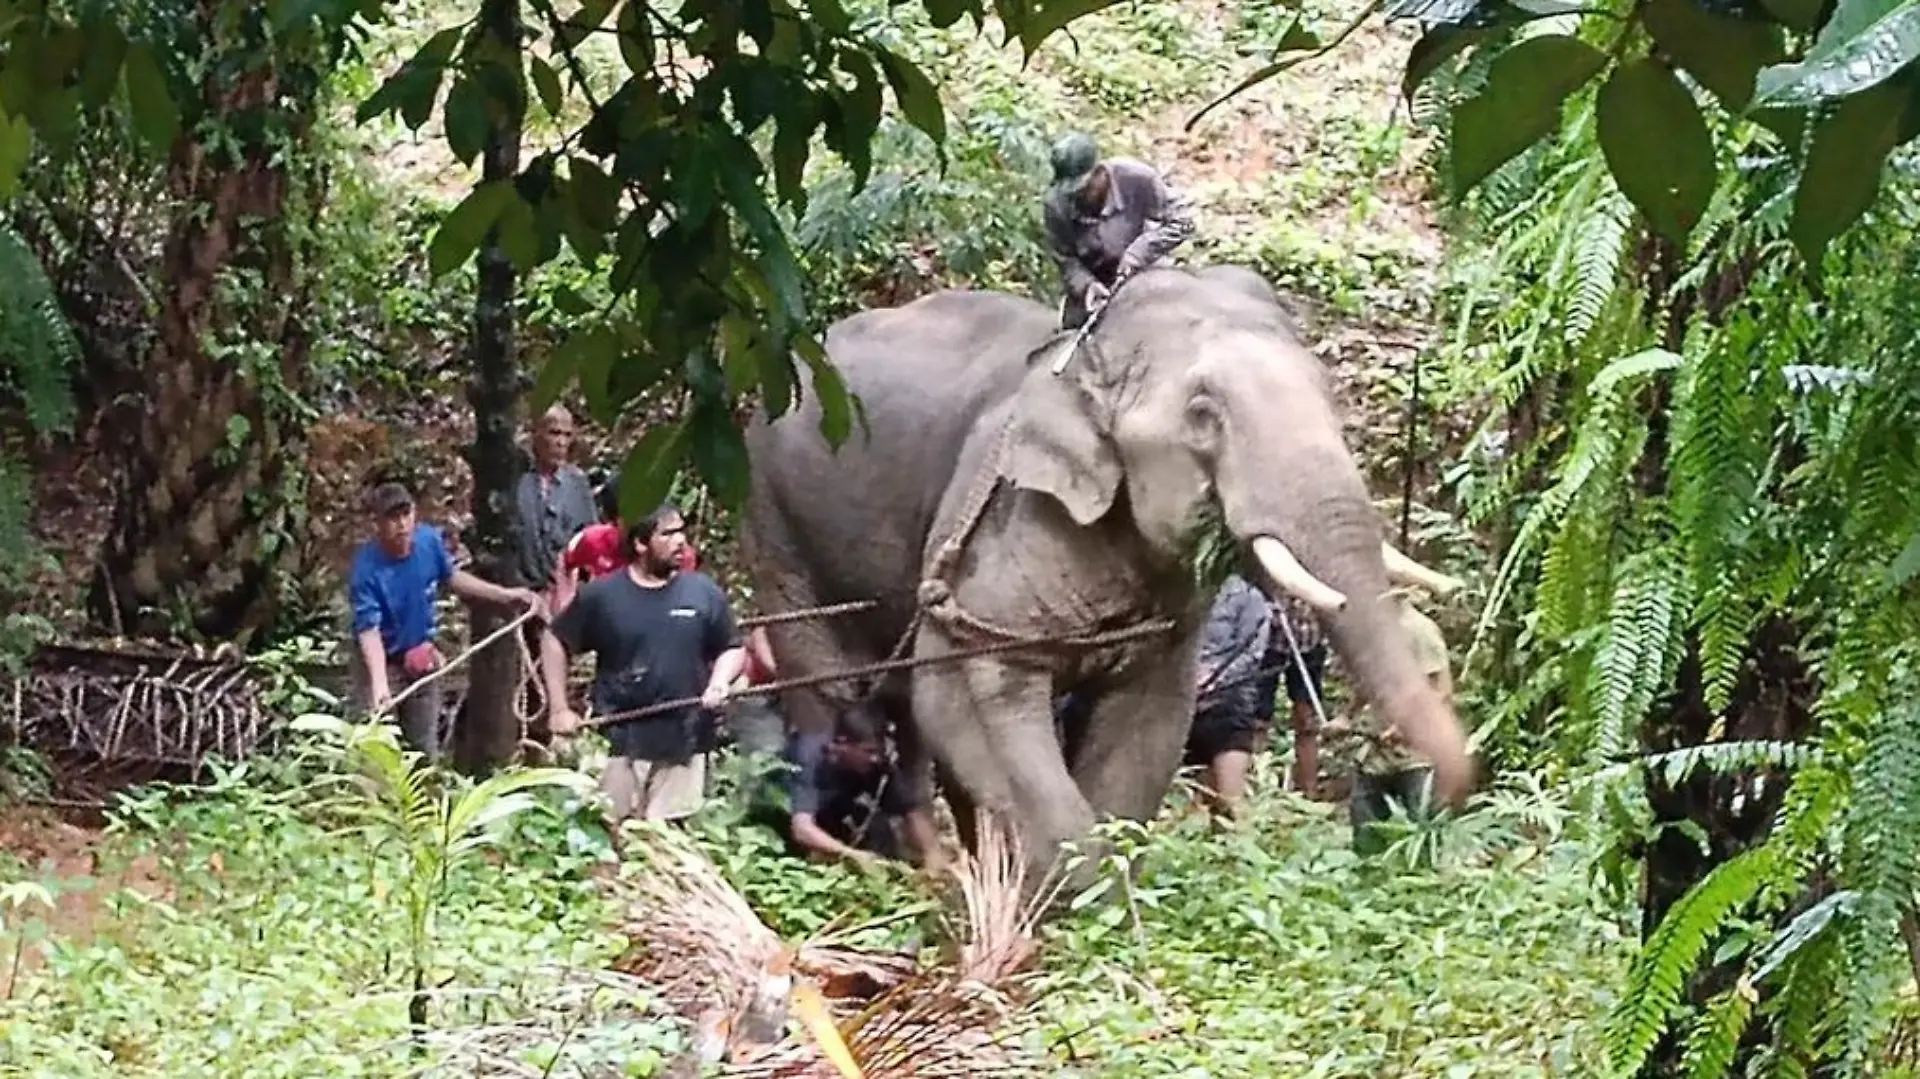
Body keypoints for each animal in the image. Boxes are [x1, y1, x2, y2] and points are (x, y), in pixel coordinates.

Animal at [740, 264, 1472, 882]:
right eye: (1203, 416)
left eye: (1328, 395)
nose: (1452, 783)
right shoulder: (997, 526)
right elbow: (968, 686)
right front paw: (1070, 900)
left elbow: (1146, 725)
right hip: (776, 517)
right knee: (837, 693)